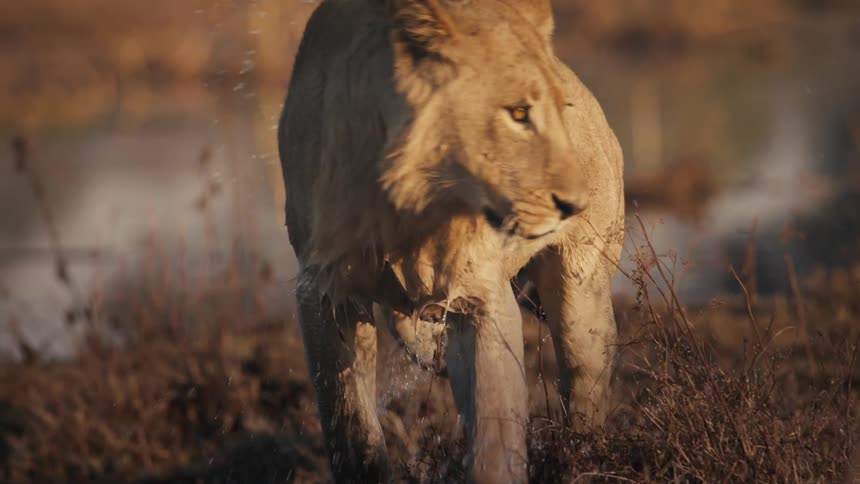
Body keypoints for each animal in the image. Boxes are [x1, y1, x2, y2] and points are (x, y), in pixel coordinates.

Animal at [277, 0, 625, 482]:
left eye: (557, 110)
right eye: (518, 113)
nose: (575, 203)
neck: (412, 206)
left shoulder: (482, 295)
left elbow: (494, 422)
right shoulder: (324, 290)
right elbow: (349, 422)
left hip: (581, 299)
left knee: (585, 384)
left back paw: (583, 460)